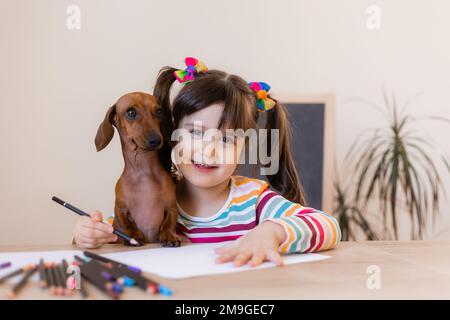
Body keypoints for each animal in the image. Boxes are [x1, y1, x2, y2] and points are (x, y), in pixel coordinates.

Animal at [95, 92, 181, 248]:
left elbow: (169, 222)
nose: (156, 140)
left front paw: (169, 235)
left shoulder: (171, 207)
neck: (144, 172)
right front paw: (134, 236)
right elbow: (126, 223)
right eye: (131, 112)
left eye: (159, 111)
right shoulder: (120, 208)